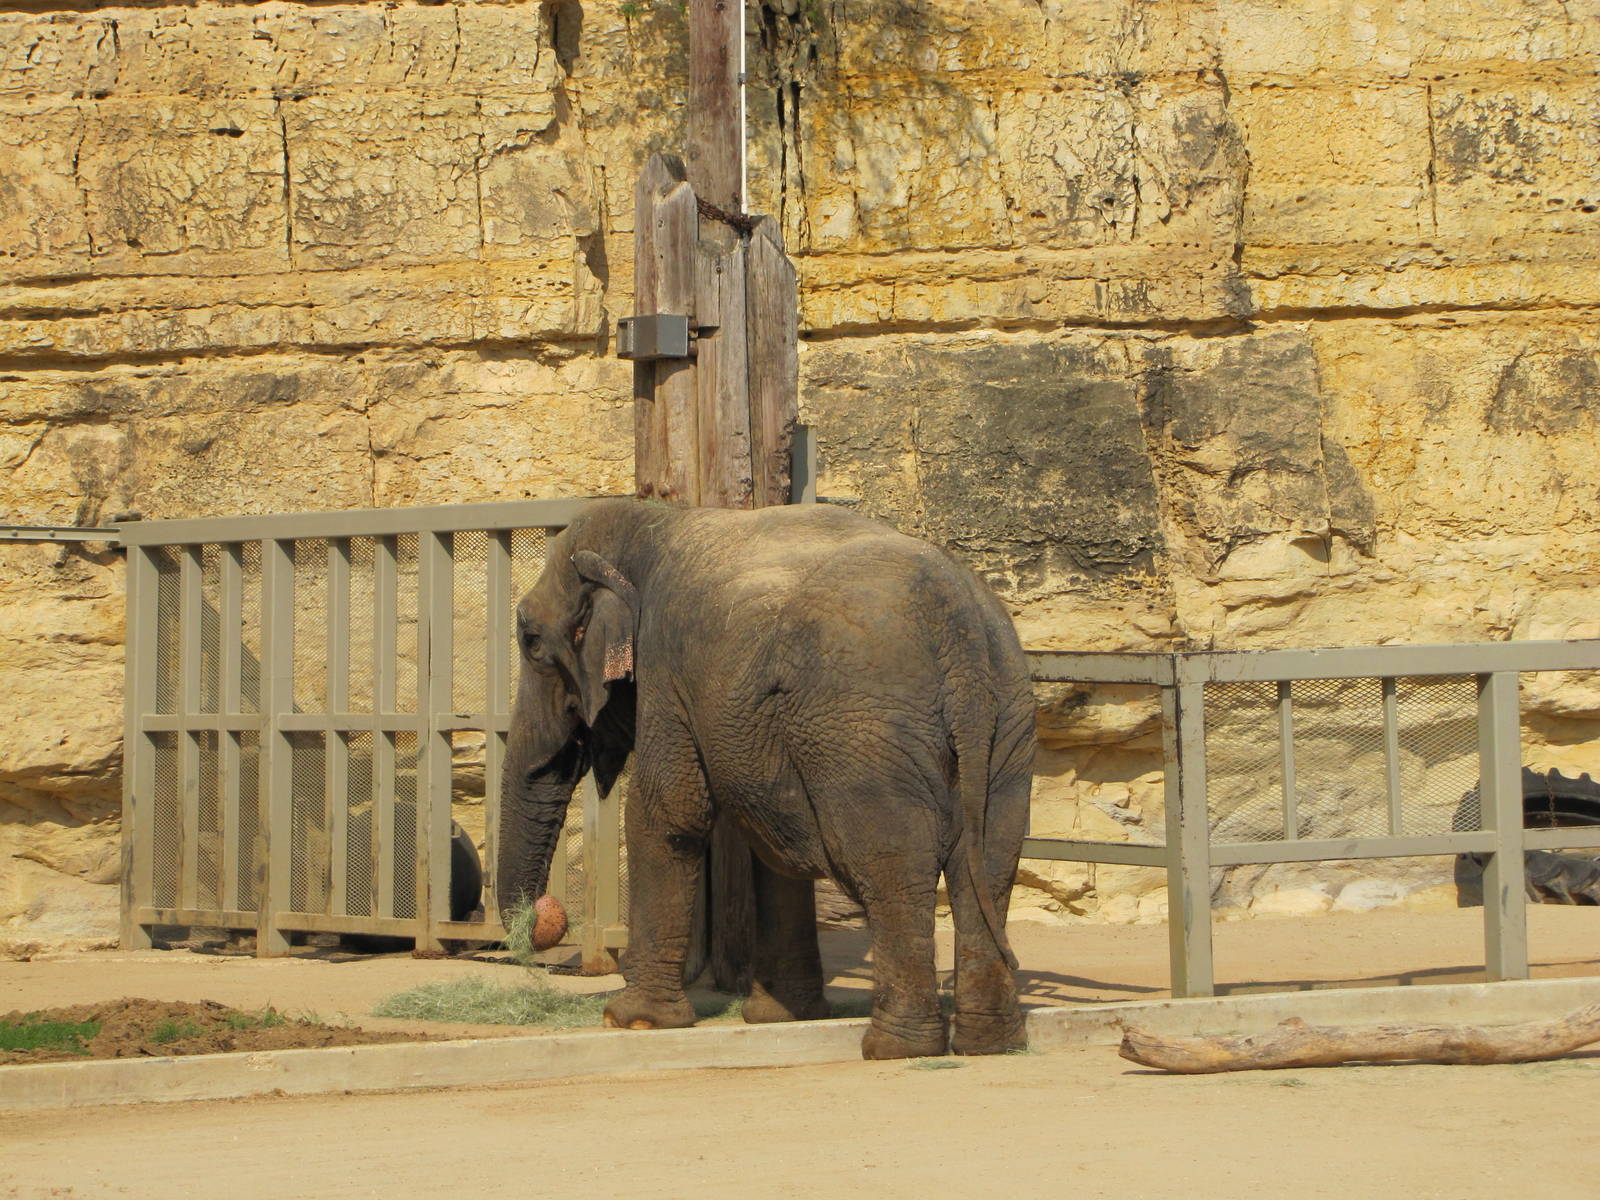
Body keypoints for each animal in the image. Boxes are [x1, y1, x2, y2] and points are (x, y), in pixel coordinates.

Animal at [497, 499, 1034, 1059]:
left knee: (891, 862)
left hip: (863, 727)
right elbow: (773, 838)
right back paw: (991, 1045)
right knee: (989, 864)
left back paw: (896, 1049)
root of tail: (958, 628)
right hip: (1005, 720)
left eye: (531, 643)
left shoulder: (666, 665)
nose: (543, 919)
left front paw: (632, 1021)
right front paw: (779, 1017)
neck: (656, 519)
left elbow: (666, 812)